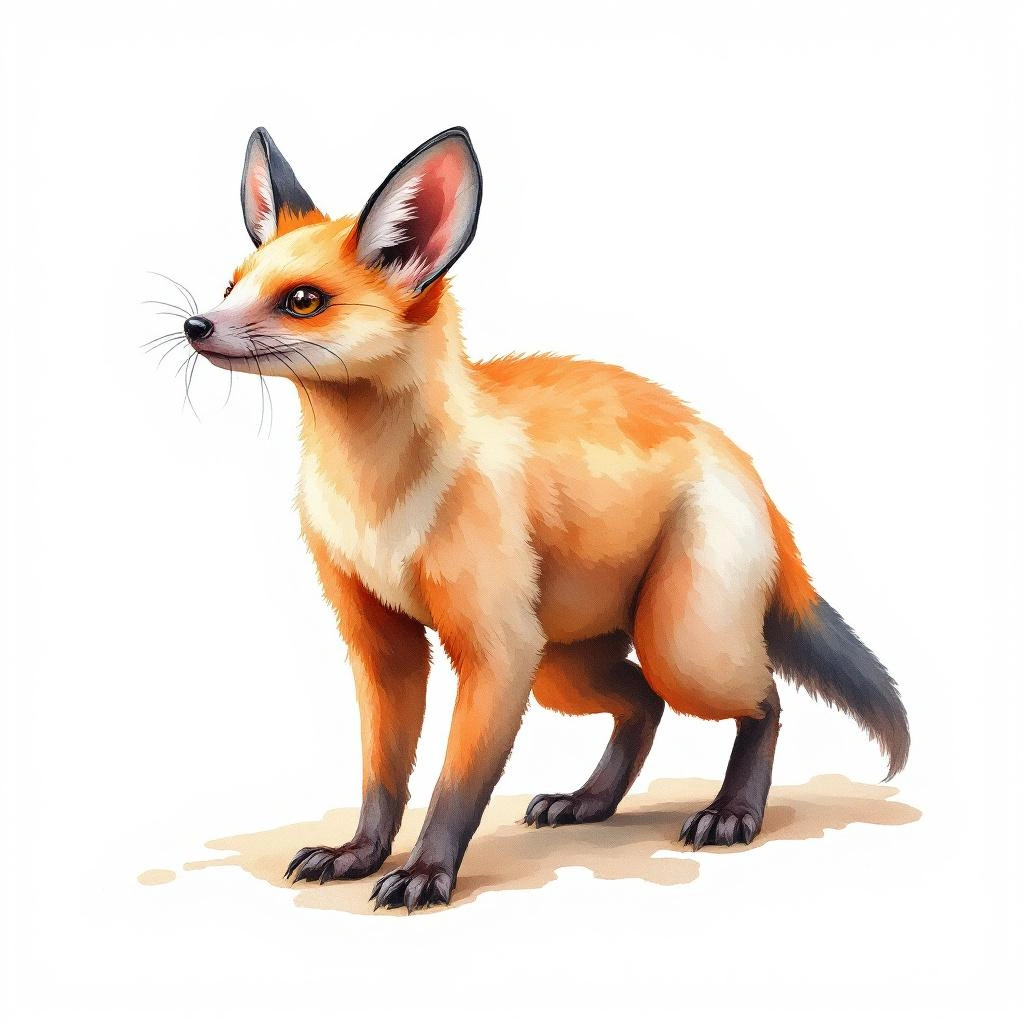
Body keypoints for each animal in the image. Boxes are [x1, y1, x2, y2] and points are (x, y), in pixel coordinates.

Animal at [170, 125, 909, 912]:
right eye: (232, 285)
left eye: (303, 300)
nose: (193, 324)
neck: (375, 502)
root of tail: (737, 456)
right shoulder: (383, 644)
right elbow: (382, 776)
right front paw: (358, 854)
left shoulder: (496, 649)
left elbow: (454, 787)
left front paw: (426, 874)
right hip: (564, 662)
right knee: (643, 703)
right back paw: (587, 801)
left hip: (675, 646)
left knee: (761, 698)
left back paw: (733, 812)